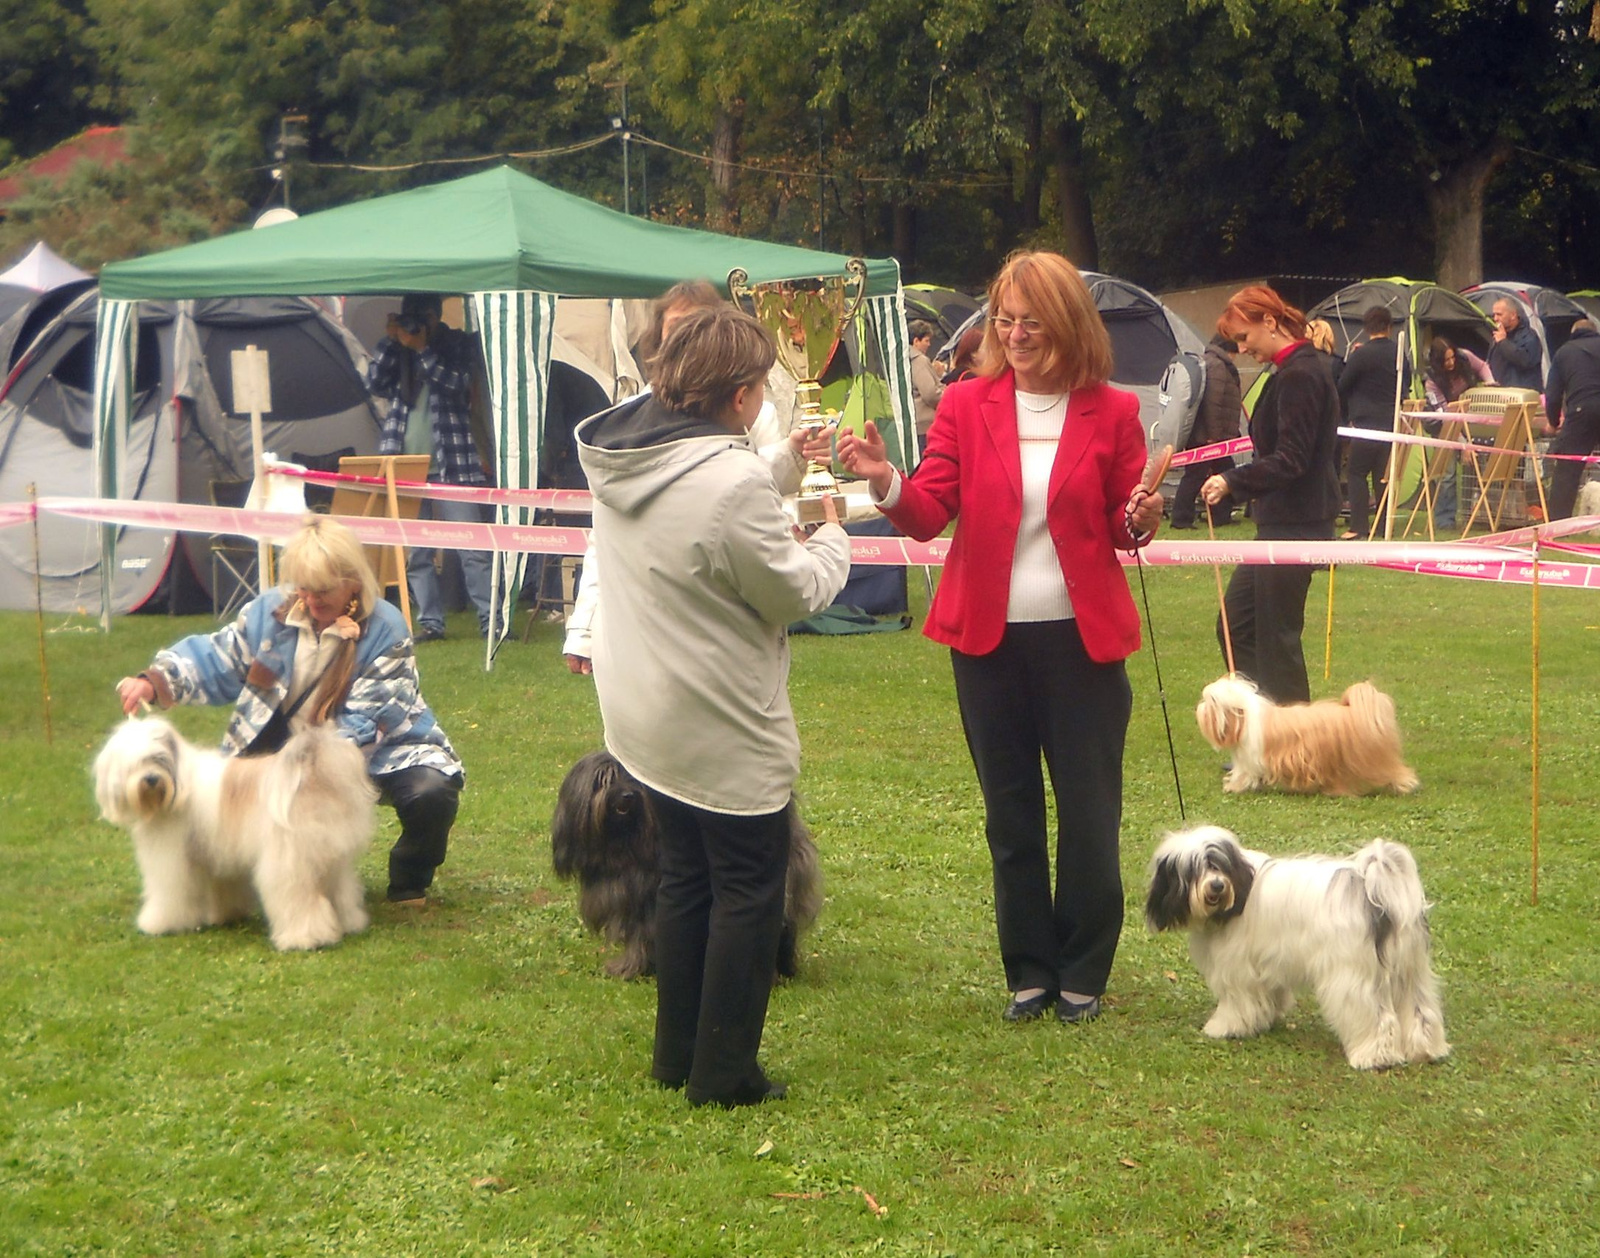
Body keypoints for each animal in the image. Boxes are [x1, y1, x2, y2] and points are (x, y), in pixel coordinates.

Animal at [93, 717, 377, 953]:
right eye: (135, 763)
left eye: (160, 758)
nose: (151, 779)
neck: (179, 787)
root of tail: (312, 774)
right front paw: (226, 915)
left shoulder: (170, 859)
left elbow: (169, 893)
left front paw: (159, 923)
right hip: (333, 859)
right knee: (341, 891)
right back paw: (350, 923)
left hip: (289, 865)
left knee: (299, 901)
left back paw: (304, 939)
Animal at [553, 745, 825, 979]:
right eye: (603, 780)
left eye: (631, 779)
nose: (627, 796)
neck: (623, 844)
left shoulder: (645, 902)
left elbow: (639, 937)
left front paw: (629, 968)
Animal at [1145, 825, 1446, 1069]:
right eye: (1194, 869)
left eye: (1217, 864)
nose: (1217, 886)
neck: (1240, 890)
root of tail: (1374, 892)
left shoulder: (1236, 969)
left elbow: (1237, 1002)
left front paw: (1223, 1026)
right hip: (1410, 969)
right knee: (1421, 1010)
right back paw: (1426, 1050)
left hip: (1352, 974)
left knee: (1374, 1016)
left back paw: (1374, 1057)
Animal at [1196, 675, 1420, 793]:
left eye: (1211, 702)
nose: (1199, 707)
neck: (1244, 719)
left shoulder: (1250, 760)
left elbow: (1244, 774)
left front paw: (1233, 787)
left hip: (1369, 758)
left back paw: (1405, 784)